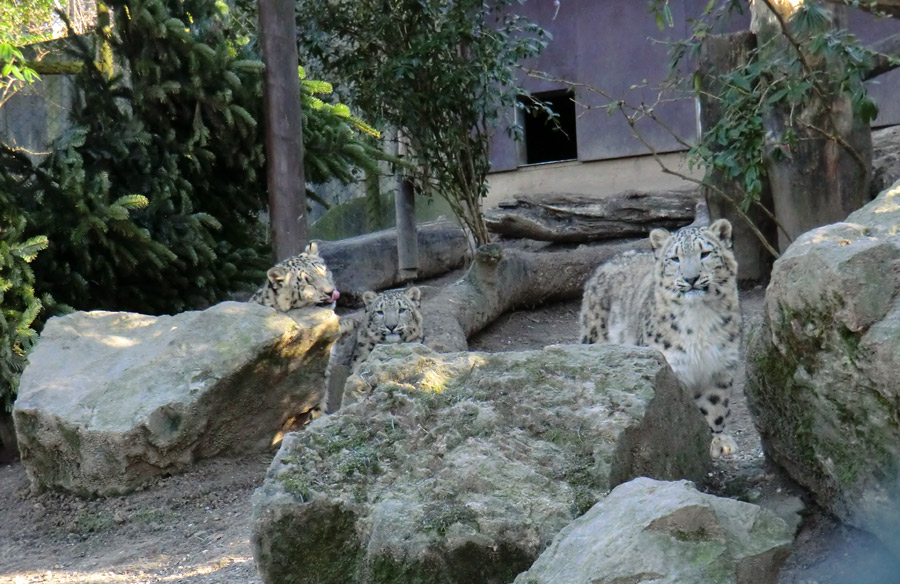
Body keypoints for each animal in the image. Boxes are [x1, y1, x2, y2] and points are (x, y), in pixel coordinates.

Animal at [580, 217, 740, 458]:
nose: (691, 278)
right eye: (675, 258)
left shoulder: (720, 367)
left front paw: (717, 440)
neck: (700, 316)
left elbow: (714, 406)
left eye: (705, 253)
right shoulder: (672, 366)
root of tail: (607, 262)